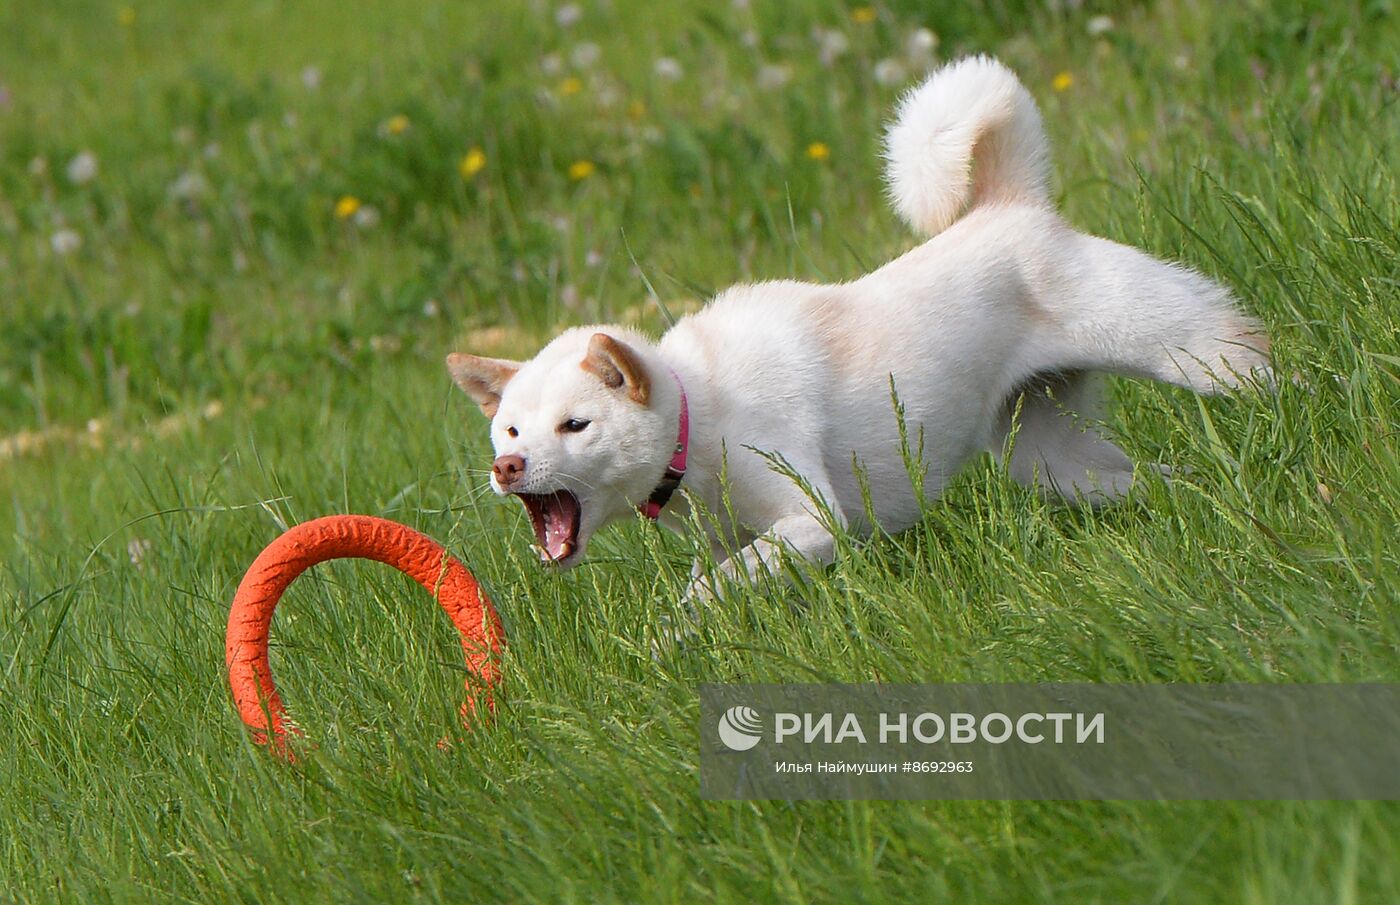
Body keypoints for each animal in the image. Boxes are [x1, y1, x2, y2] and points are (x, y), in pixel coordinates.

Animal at [448, 53, 1271, 599]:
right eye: (512, 430)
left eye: (576, 425)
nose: (507, 468)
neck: (695, 408)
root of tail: (1009, 204)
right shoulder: (732, 532)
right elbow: (718, 578)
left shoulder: (815, 520)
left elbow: (712, 589)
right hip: (1053, 464)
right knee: (1152, 479)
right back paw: (1199, 498)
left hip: (1186, 351)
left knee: (1258, 363)